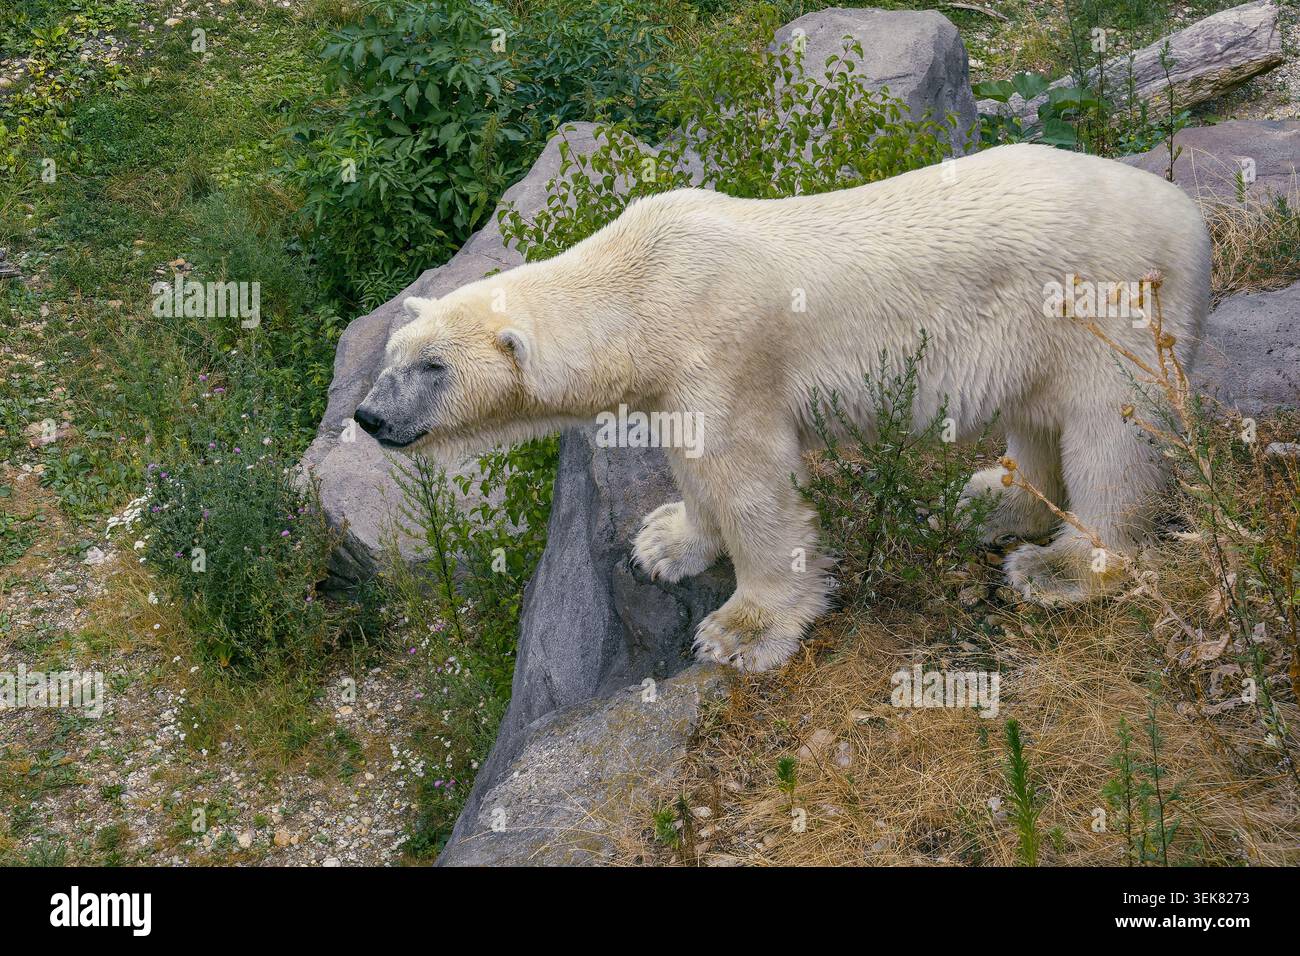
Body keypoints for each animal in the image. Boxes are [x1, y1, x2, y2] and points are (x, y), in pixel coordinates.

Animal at [354, 142, 1211, 672]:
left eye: (432, 367)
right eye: (393, 357)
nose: (368, 418)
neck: (644, 285)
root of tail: (1192, 218)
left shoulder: (722, 353)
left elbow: (753, 486)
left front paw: (744, 630)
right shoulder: (671, 380)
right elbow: (690, 465)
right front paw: (665, 541)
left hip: (1107, 306)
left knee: (1110, 436)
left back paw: (1064, 566)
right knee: (1034, 415)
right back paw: (990, 498)